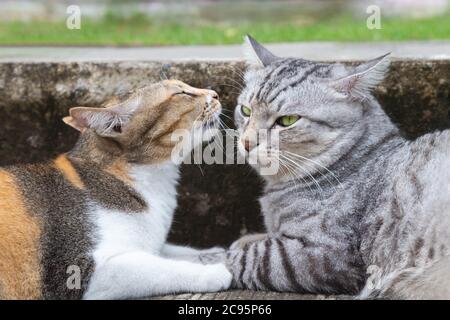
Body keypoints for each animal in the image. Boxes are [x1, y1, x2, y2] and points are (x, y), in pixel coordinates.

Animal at [0, 79, 232, 298]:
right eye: (181, 93)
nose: (215, 94)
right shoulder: (79, 268)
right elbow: (161, 268)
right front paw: (214, 272)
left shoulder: (151, 244)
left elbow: (175, 252)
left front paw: (218, 254)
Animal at [223, 36, 448, 298]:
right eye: (245, 110)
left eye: (287, 120)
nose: (247, 142)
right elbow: (258, 239)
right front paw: (247, 238)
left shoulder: (323, 253)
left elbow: (247, 257)